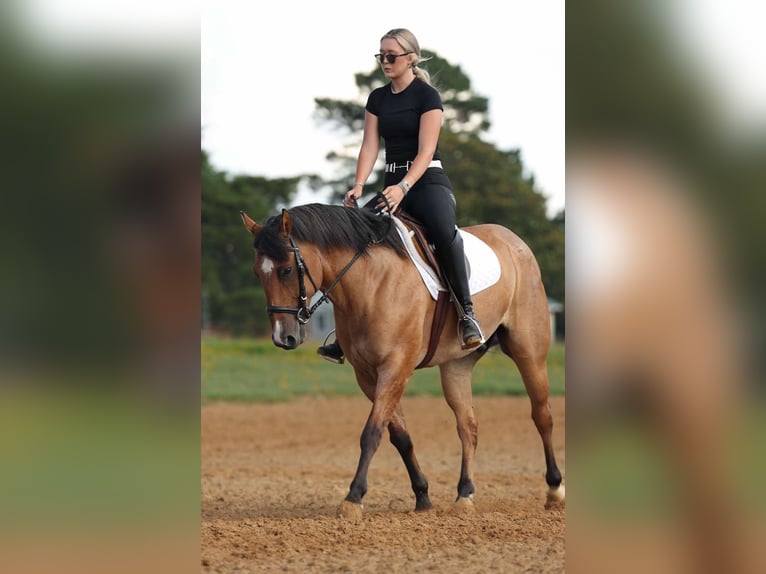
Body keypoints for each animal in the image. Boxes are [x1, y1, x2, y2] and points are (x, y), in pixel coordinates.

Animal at [240, 202, 564, 520]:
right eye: (257, 272)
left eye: (286, 270)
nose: (282, 337)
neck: (370, 283)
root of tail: (513, 240)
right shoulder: (367, 375)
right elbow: (399, 435)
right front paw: (422, 496)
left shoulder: (395, 368)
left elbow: (372, 432)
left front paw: (353, 499)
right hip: (456, 367)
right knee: (468, 426)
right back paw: (465, 495)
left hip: (529, 352)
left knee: (542, 415)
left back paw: (554, 490)